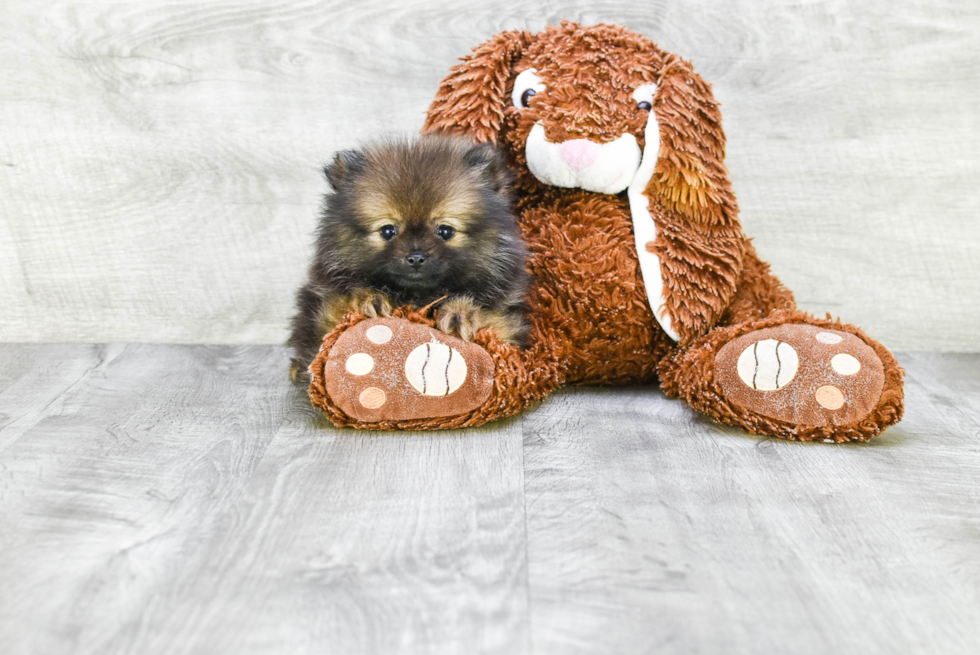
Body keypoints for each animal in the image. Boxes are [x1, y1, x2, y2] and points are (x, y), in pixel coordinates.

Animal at [288, 135, 528, 380]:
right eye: (387, 231)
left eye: (445, 231)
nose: (416, 257)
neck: (418, 296)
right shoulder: (325, 302)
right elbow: (338, 308)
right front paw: (368, 298)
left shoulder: (507, 315)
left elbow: (493, 319)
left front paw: (461, 313)